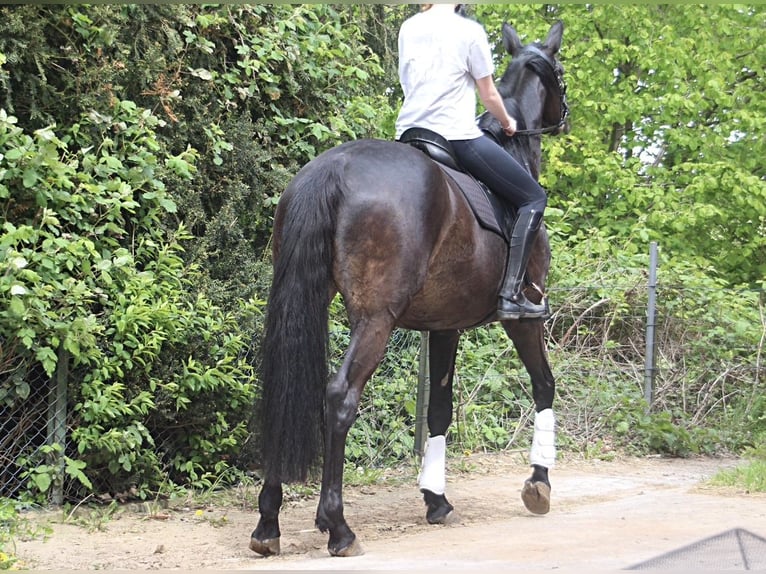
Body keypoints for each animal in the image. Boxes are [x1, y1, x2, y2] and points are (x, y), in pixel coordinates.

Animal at [249, 21, 568, 560]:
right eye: (561, 72)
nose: (563, 117)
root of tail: (331, 167)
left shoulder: (444, 326)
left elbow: (437, 410)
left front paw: (436, 500)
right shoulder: (524, 318)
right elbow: (543, 384)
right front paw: (539, 483)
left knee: (288, 388)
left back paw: (268, 524)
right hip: (376, 319)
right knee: (339, 396)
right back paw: (338, 527)